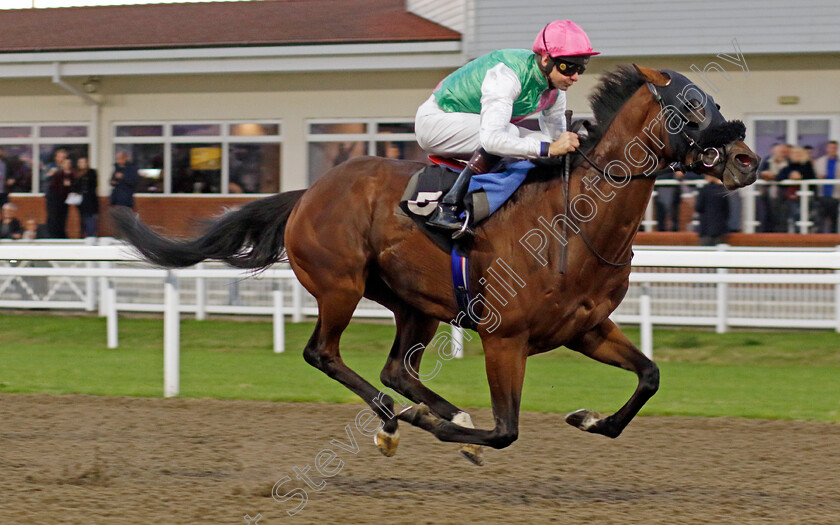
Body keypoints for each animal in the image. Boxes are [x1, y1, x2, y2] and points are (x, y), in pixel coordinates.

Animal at [113, 65, 760, 462]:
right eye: (690, 107)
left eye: (714, 101)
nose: (747, 160)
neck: (575, 222)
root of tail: (308, 192)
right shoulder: (505, 338)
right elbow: (508, 430)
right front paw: (440, 427)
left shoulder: (587, 328)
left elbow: (650, 377)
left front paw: (589, 419)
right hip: (340, 285)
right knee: (325, 353)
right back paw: (395, 420)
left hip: (415, 304)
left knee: (398, 370)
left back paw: (437, 416)